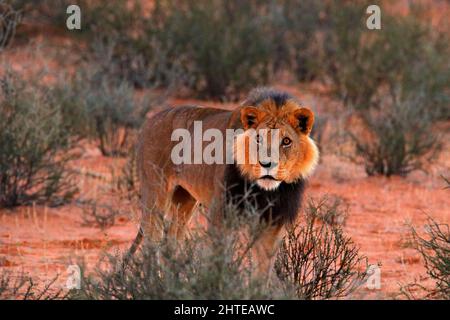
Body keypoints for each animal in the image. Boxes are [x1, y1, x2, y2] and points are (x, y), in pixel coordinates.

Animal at [125, 87, 318, 276]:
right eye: (258, 139)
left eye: (286, 141)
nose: (267, 164)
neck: (263, 190)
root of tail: (150, 120)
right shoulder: (221, 214)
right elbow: (218, 260)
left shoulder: (272, 223)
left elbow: (262, 272)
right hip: (155, 194)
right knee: (152, 243)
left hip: (185, 199)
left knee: (172, 240)